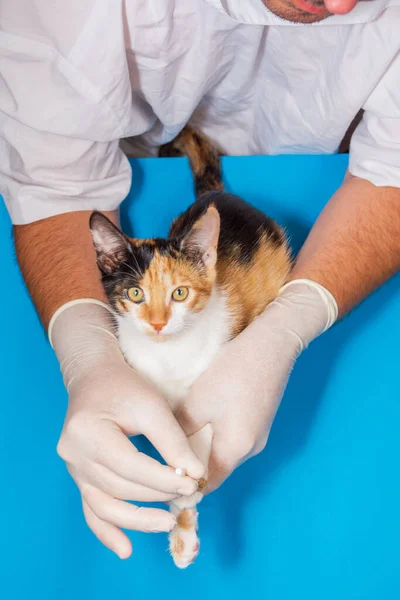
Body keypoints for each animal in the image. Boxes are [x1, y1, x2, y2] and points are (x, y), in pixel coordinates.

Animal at [90, 125, 290, 568]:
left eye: (179, 293)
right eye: (135, 293)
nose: (158, 323)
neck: (170, 356)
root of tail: (215, 195)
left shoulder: (216, 376)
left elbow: (203, 432)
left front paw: (191, 494)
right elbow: (169, 442)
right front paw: (181, 514)